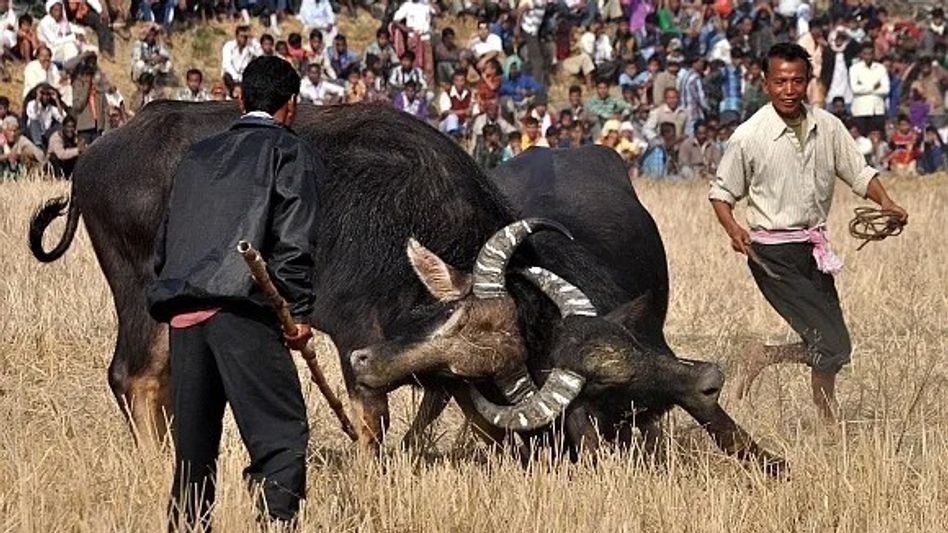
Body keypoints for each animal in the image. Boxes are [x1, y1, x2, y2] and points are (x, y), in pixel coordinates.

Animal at [29, 101, 782, 472]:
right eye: (597, 388)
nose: (703, 381)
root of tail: (93, 156)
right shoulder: (354, 335)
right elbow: (375, 416)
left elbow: (435, 405)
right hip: (140, 291)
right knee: (133, 374)